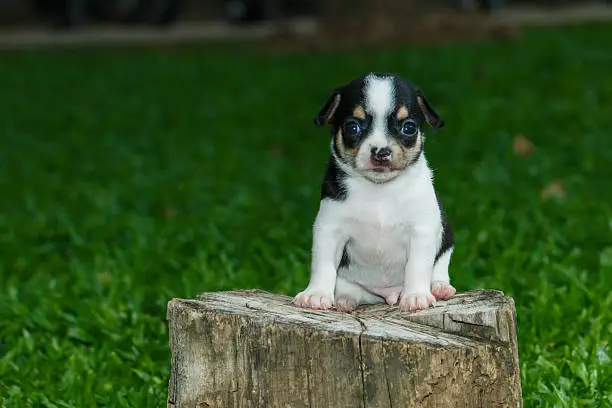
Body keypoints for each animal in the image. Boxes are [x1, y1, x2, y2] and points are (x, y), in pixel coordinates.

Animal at [292, 71, 454, 312]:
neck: (379, 189)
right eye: (352, 127)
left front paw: (416, 295)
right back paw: (345, 299)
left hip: (446, 237)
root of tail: (387, 294)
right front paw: (316, 294)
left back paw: (439, 287)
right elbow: (323, 265)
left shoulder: (421, 231)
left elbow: (417, 266)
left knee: (440, 265)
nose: (381, 151)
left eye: (409, 127)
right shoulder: (330, 229)